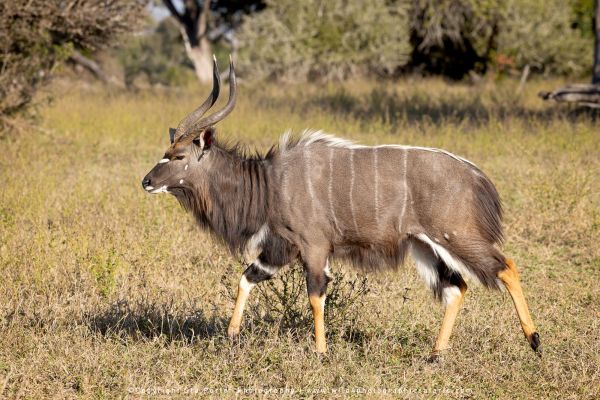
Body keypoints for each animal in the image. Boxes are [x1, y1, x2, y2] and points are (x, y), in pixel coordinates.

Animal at [143, 57, 540, 360]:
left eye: (178, 156)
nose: (146, 181)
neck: (269, 183)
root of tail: (477, 177)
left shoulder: (314, 247)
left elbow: (315, 295)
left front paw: (320, 352)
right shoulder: (280, 249)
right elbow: (247, 277)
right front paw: (232, 335)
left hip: (456, 236)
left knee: (505, 266)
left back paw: (534, 341)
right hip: (425, 246)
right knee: (457, 287)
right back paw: (435, 355)